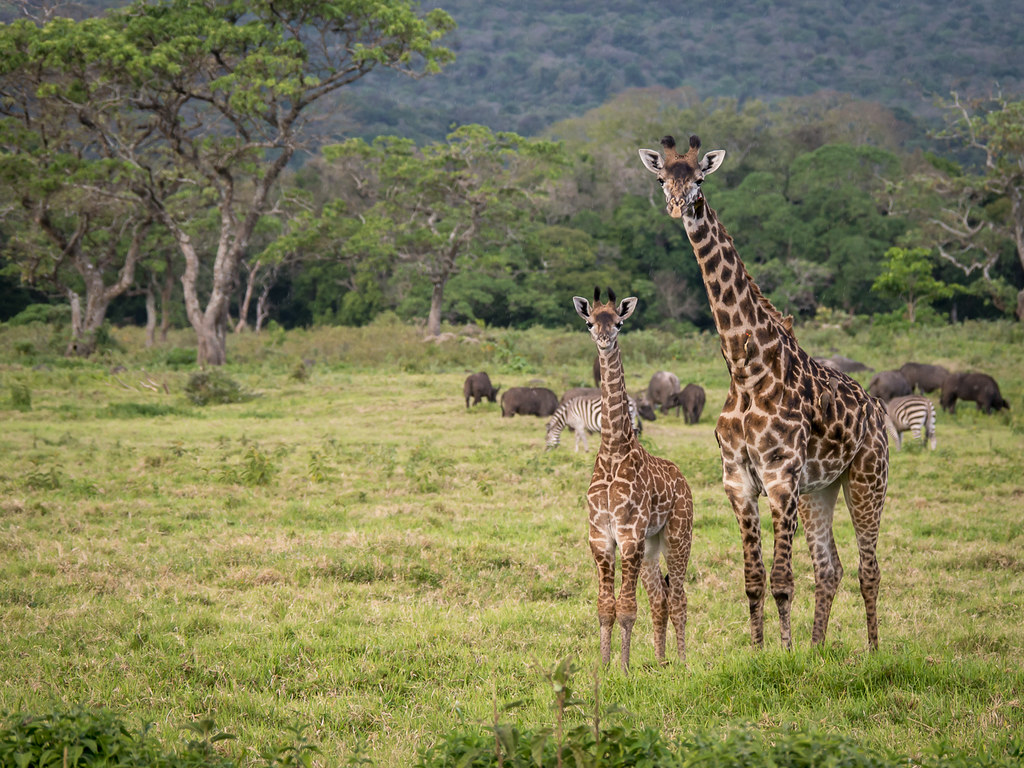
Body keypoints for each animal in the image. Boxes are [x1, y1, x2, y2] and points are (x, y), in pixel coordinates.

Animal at [573, 288, 692, 671]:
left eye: (620, 322)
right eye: (590, 322)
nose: (604, 339)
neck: (613, 449)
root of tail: (683, 479)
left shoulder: (629, 536)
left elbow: (626, 608)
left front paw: (623, 669)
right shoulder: (600, 537)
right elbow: (604, 608)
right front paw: (604, 666)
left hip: (677, 536)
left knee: (679, 597)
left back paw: (682, 662)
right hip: (652, 546)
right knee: (661, 598)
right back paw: (660, 660)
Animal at [638, 134, 888, 651]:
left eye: (699, 179)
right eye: (662, 179)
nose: (678, 206)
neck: (746, 371)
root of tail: (876, 409)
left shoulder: (780, 478)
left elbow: (781, 579)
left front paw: (785, 654)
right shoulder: (738, 481)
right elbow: (753, 579)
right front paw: (760, 651)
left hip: (867, 478)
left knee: (868, 568)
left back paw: (873, 652)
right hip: (821, 490)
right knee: (830, 567)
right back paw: (817, 649)